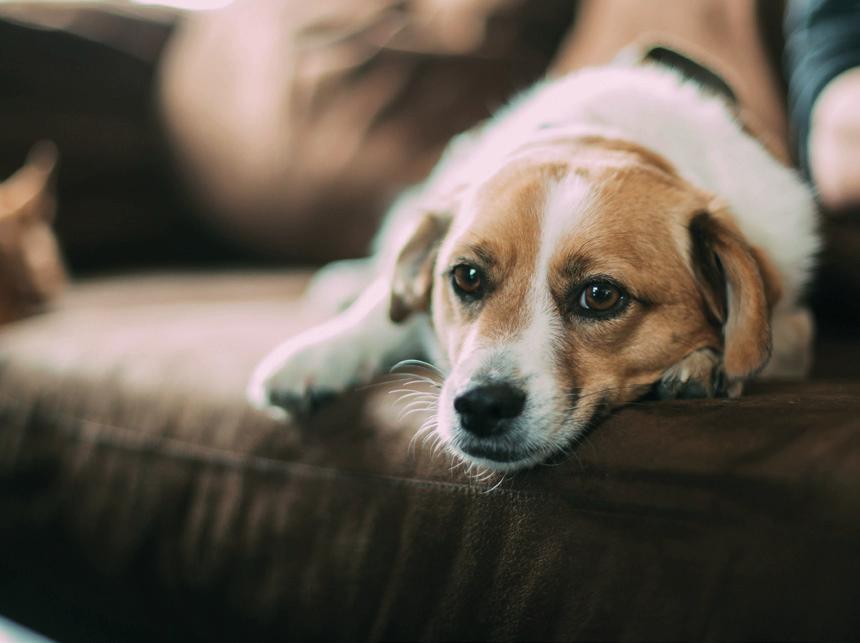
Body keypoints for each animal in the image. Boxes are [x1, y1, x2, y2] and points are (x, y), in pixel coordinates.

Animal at [245, 50, 816, 470]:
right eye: (467, 277)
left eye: (601, 296)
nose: (481, 406)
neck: (602, 135)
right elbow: (381, 312)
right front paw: (318, 354)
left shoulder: (792, 320)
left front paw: (703, 363)